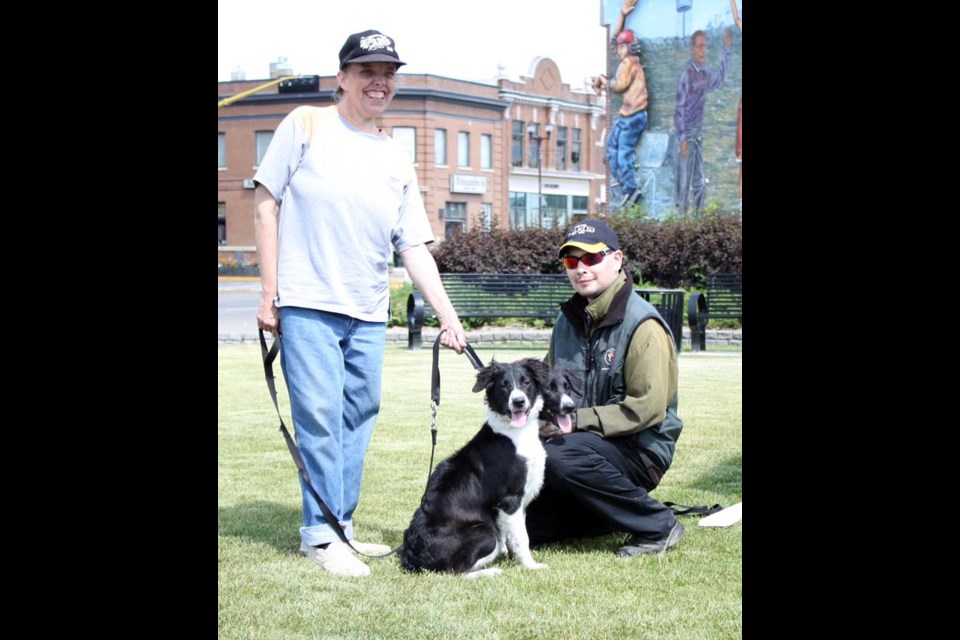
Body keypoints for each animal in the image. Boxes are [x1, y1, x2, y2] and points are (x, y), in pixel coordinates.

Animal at [400, 358, 576, 576]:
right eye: (503, 385)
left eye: (526, 382)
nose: (518, 401)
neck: (515, 432)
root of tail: (411, 557)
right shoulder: (510, 499)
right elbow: (522, 538)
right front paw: (531, 566)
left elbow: (514, 536)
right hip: (486, 530)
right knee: (454, 571)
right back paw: (490, 571)